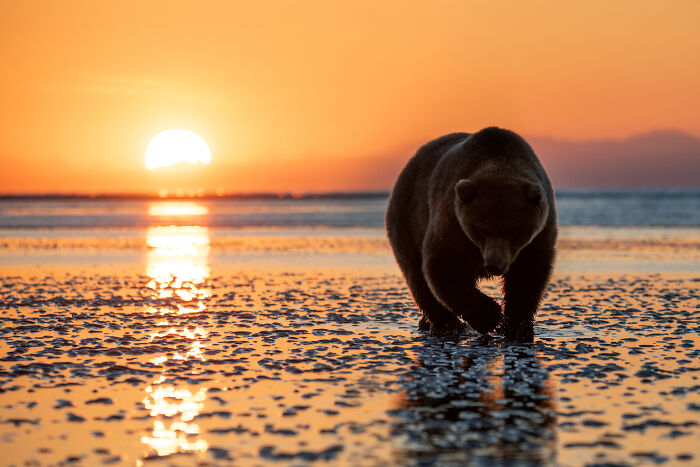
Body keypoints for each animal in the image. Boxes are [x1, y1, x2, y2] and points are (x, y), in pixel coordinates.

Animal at [386, 127, 557, 343]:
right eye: (481, 229)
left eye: (513, 231)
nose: (493, 265)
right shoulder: (453, 221)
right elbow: (444, 265)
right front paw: (491, 316)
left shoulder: (539, 234)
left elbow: (527, 275)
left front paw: (517, 328)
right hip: (407, 218)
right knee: (416, 274)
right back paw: (447, 325)